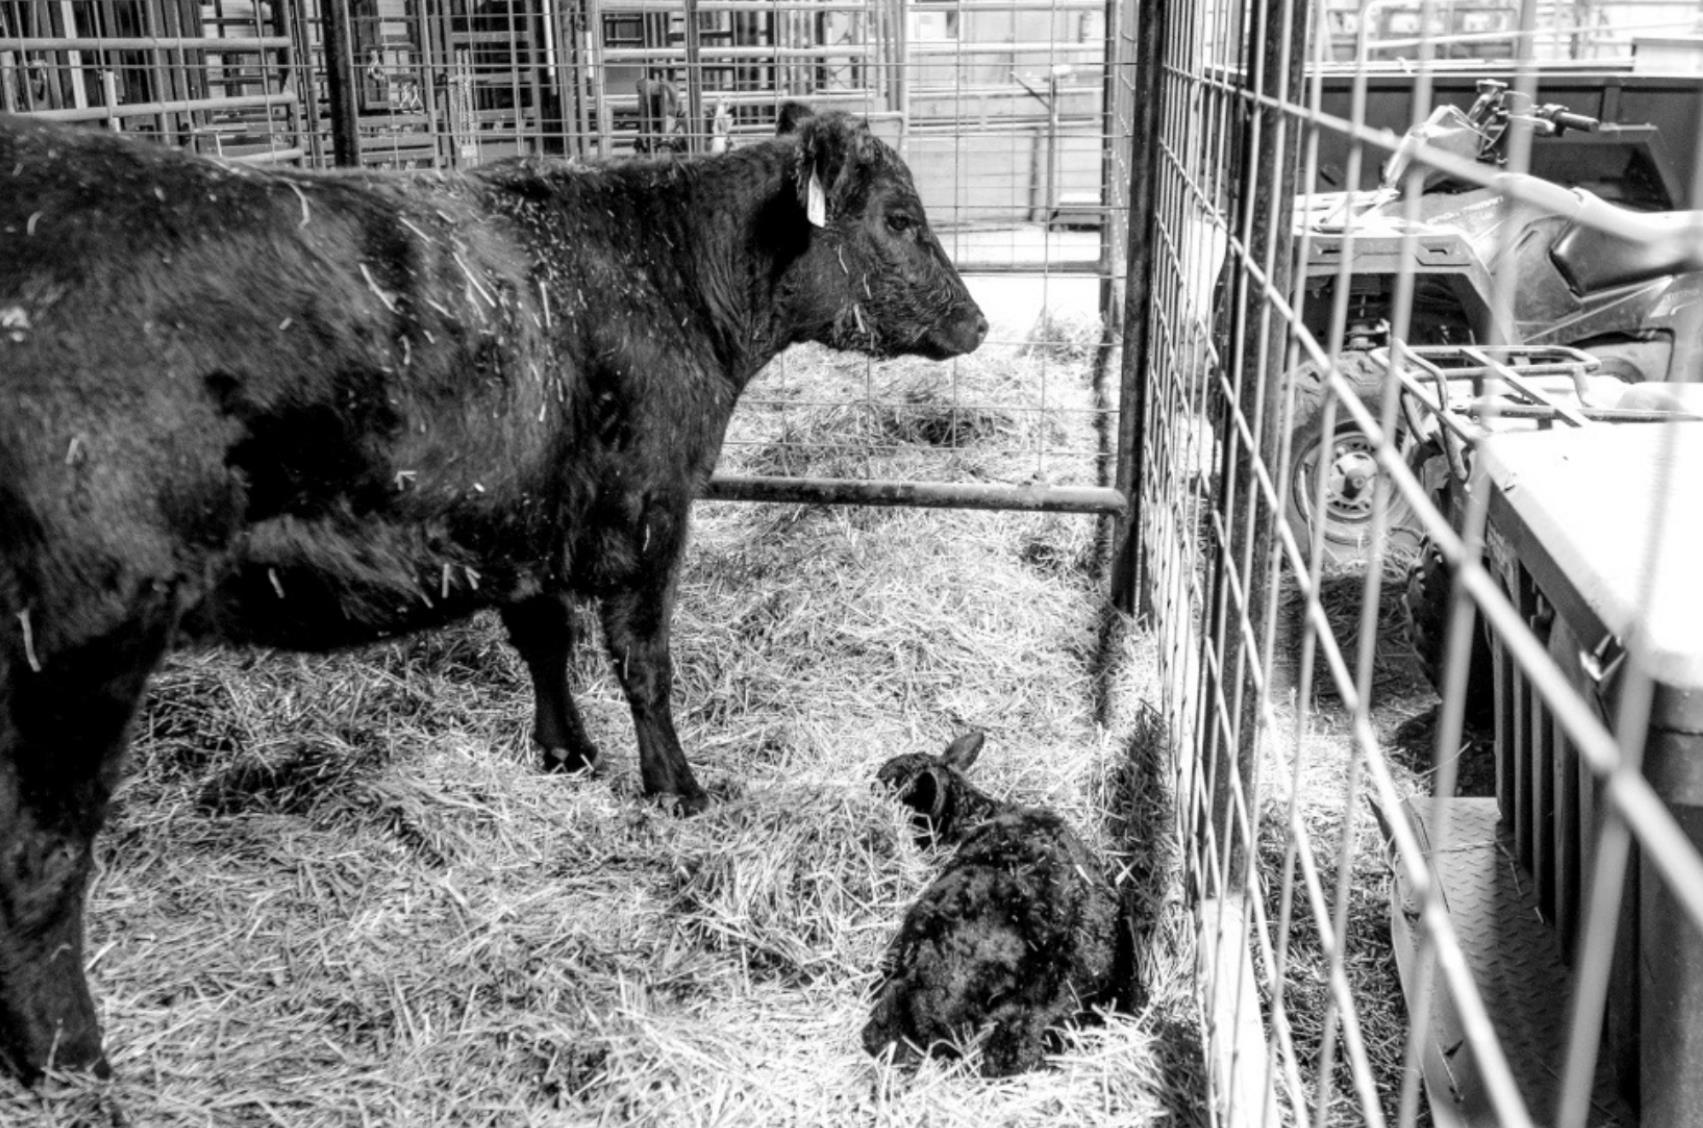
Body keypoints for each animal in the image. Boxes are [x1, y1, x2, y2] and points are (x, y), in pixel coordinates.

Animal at [0, 104, 986, 1081]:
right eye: (899, 217)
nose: (975, 322)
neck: (669, 277)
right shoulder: (650, 511)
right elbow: (644, 664)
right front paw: (677, 790)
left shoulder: (522, 522)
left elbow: (544, 641)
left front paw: (565, 752)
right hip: (84, 639)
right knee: (40, 858)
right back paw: (73, 1062)